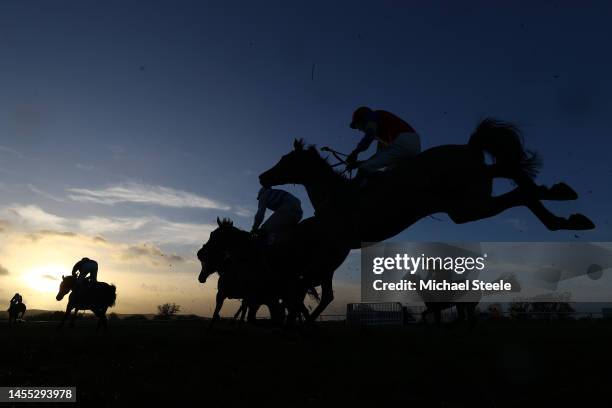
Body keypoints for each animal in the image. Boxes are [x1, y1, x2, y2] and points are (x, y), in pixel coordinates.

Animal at [258, 118, 592, 249]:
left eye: (286, 160)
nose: (263, 176)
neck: (335, 196)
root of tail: (468, 146)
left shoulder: (337, 237)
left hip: (467, 205)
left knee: (519, 192)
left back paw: (564, 212)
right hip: (472, 194)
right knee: (510, 174)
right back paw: (563, 200)